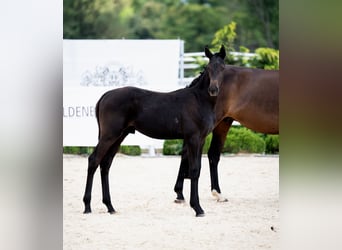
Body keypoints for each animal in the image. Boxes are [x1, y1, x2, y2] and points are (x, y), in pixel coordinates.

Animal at [83, 45, 227, 217]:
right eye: (208, 68)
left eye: (223, 67)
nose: (213, 89)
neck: (198, 100)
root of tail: (105, 95)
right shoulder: (193, 138)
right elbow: (194, 170)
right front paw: (197, 208)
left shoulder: (201, 139)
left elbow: (197, 169)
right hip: (109, 136)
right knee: (94, 160)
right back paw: (87, 206)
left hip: (119, 137)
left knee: (105, 164)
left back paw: (110, 206)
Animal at [174, 47, 278, 203]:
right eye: (209, 68)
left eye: (222, 68)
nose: (213, 89)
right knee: (189, 152)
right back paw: (182, 194)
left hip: (223, 122)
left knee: (212, 154)